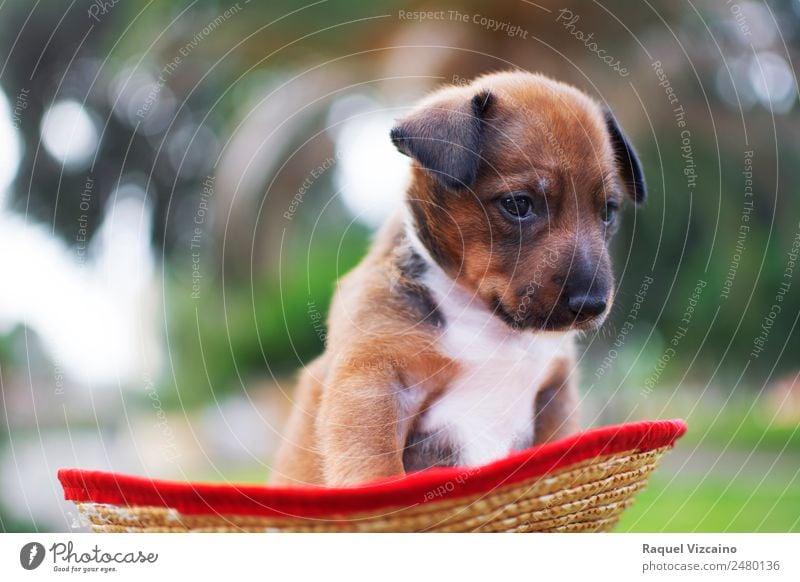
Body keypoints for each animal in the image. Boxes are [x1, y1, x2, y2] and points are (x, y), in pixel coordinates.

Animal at [272, 69, 648, 488]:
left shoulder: (554, 397)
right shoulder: (376, 385)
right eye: (518, 204)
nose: (591, 305)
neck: (491, 324)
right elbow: (377, 468)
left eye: (608, 212)